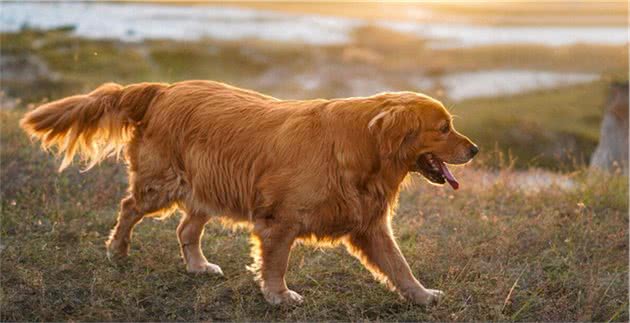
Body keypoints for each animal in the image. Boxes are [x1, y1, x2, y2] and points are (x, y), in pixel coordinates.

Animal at [22, 80, 482, 306]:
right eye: (443, 128)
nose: (475, 149)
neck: (362, 147)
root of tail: (163, 89)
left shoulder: (370, 224)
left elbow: (400, 266)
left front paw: (421, 296)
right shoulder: (279, 221)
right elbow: (277, 263)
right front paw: (278, 296)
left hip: (208, 187)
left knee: (185, 230)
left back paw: (198, 266)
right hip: (162, 185)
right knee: (129, 206)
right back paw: (117, 251)